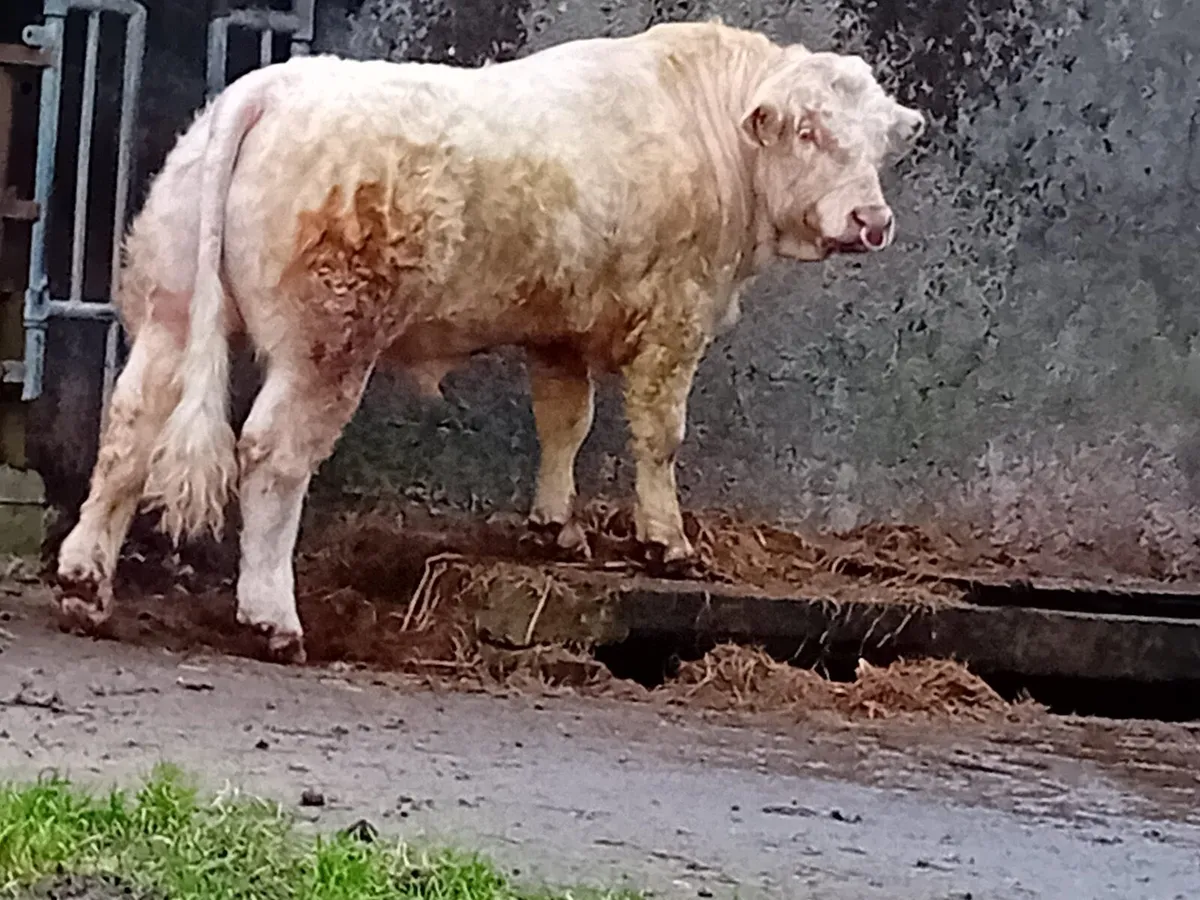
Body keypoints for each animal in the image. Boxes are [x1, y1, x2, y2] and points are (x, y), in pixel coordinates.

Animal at [54, 20, 924, 664]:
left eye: (879, 143)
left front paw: (554, 527)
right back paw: (272, 618)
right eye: (809, 132)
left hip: (169, 308)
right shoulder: (675, 318)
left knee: (128, 430)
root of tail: (275, 86)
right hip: (326, 344)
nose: (872, 222)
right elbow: (658, 436)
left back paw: (84, 582)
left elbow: (564, 423)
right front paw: (665, 543)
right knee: (271, 455)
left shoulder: (560, 329)